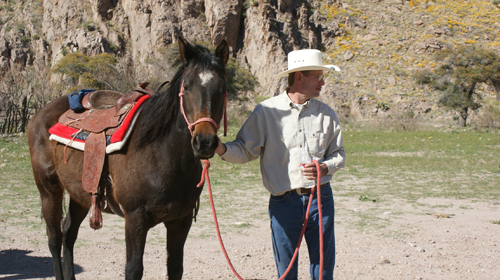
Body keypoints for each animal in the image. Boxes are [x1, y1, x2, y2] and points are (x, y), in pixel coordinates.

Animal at [26, 35, 229, 280]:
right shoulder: (135, 219)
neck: (163, 155)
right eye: (187, 87)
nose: (205, 142)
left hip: (80, 193)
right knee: (54, 238)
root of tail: (40, 113)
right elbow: (133, 269)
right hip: (49, 190)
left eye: (222, 88)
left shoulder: (181, 220)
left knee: (69, 233)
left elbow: (175, 267)